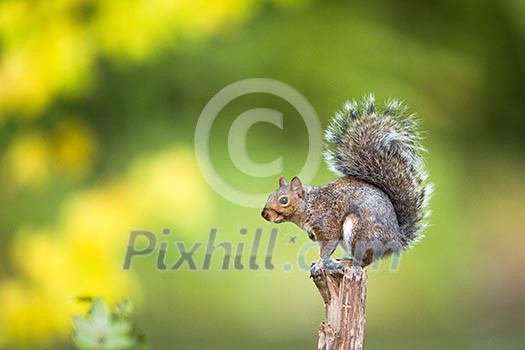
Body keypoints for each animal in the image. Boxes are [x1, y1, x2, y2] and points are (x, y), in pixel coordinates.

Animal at [260, 94, 432, 270]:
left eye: (284, 200)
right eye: (270, 195)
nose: (264, 214)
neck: (309, 205)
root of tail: (395, 241)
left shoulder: (327, 224)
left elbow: (327, 246)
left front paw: (320, 263)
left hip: (359, 233)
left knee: (363, 261)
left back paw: (347, 262)